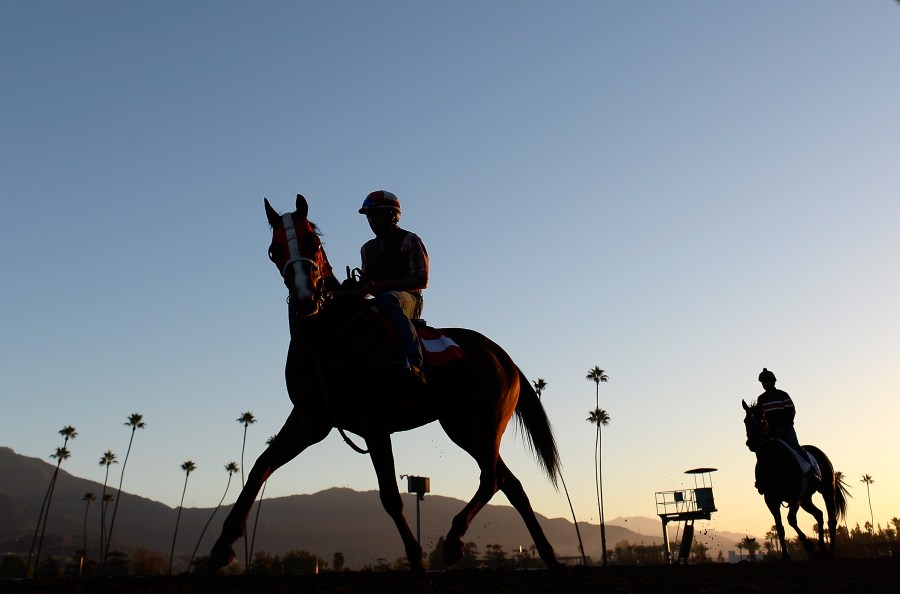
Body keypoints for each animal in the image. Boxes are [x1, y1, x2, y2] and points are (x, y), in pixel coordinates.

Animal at [209, 193, 564, 568]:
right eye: (274, 250)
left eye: (313, 241)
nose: (306, 298)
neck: (327, 337)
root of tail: (503, 356)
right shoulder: (311, 419)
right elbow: (260, 466)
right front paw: (221, 546)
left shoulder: (374, 423)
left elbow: (391, 496)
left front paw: (417, 559)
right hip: (461, 426)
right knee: (510, 483)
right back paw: (546, 556)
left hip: (483, 422)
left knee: (491, 477)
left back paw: (454, 540)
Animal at [740, 400, 848, 556]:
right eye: (746, 420)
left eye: (761, 420)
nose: (752, 443)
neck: (772, 462)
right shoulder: (770, 499)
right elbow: (780, 527)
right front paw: (785, 556)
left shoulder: (793, 496)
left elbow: (791, 520)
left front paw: (808, 544)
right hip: (805, 499)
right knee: (819, 514)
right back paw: (822, 548)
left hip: (827, 489)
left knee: (831, 519)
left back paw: (831, 551)